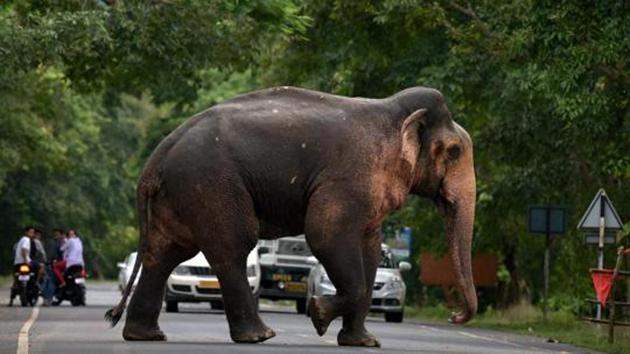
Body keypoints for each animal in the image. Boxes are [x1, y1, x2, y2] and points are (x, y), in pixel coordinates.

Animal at [106, 85, 476, 346]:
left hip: (180, 193)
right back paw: (260, 336)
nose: (453, 316)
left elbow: (369, 252)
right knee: (232, 247)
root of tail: (156, 159)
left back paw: (146, 336)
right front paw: (318, 314)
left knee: (165, 253)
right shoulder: (347, 178)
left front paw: (364, 343)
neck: (392, 112)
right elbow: (325, 235)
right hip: (209, 183)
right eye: (455, 151)